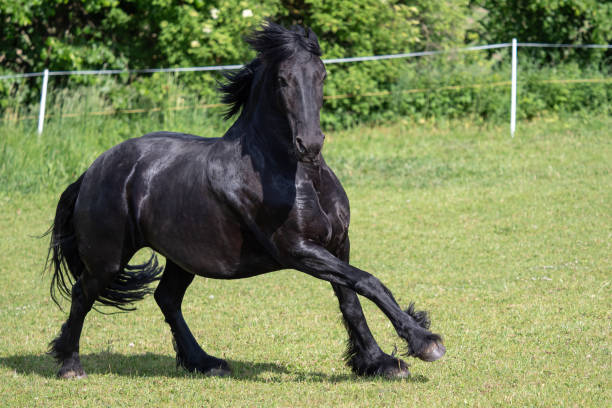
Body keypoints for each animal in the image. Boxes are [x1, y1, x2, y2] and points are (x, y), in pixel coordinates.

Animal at [44, 22, 444, 380]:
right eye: (282, 79)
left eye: (322, 75)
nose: (311, 145)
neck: (297, 176)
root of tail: (92, 170)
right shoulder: (298, 250)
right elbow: (368, 282)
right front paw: (424, 342)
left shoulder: (337, 244)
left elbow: (352, 299)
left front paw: (379, 363)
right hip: (108, 258)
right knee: (82, 295)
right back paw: (70, 365)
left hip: (182, 255)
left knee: (167, 299)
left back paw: (204, 362)